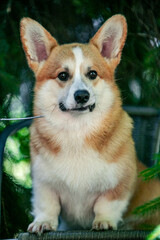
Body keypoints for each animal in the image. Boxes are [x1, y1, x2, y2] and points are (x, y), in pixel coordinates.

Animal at [20, 14, 160, 233]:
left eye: (92, 74)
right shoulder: (44, 184)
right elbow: (47, 205)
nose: (82, 96)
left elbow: (106, 204)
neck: (77, 130)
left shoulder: (118, 184)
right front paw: (44, 222)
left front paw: (104, 221)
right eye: (62, 75)